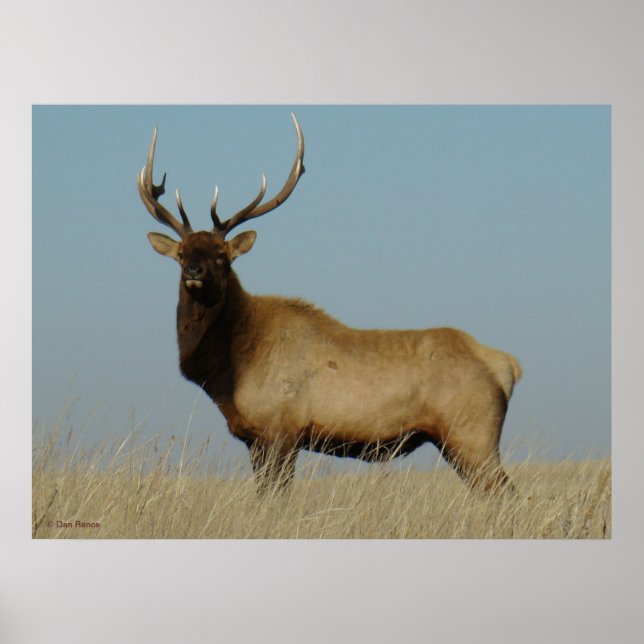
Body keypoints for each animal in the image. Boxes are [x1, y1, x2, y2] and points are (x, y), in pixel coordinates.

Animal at [137, 114, 522, 494]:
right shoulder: (254, 439)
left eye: (221, 255)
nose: (194, 270)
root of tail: (508, 366)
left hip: (472, 435)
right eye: (182, 253)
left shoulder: (281, 430)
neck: (228, 373)